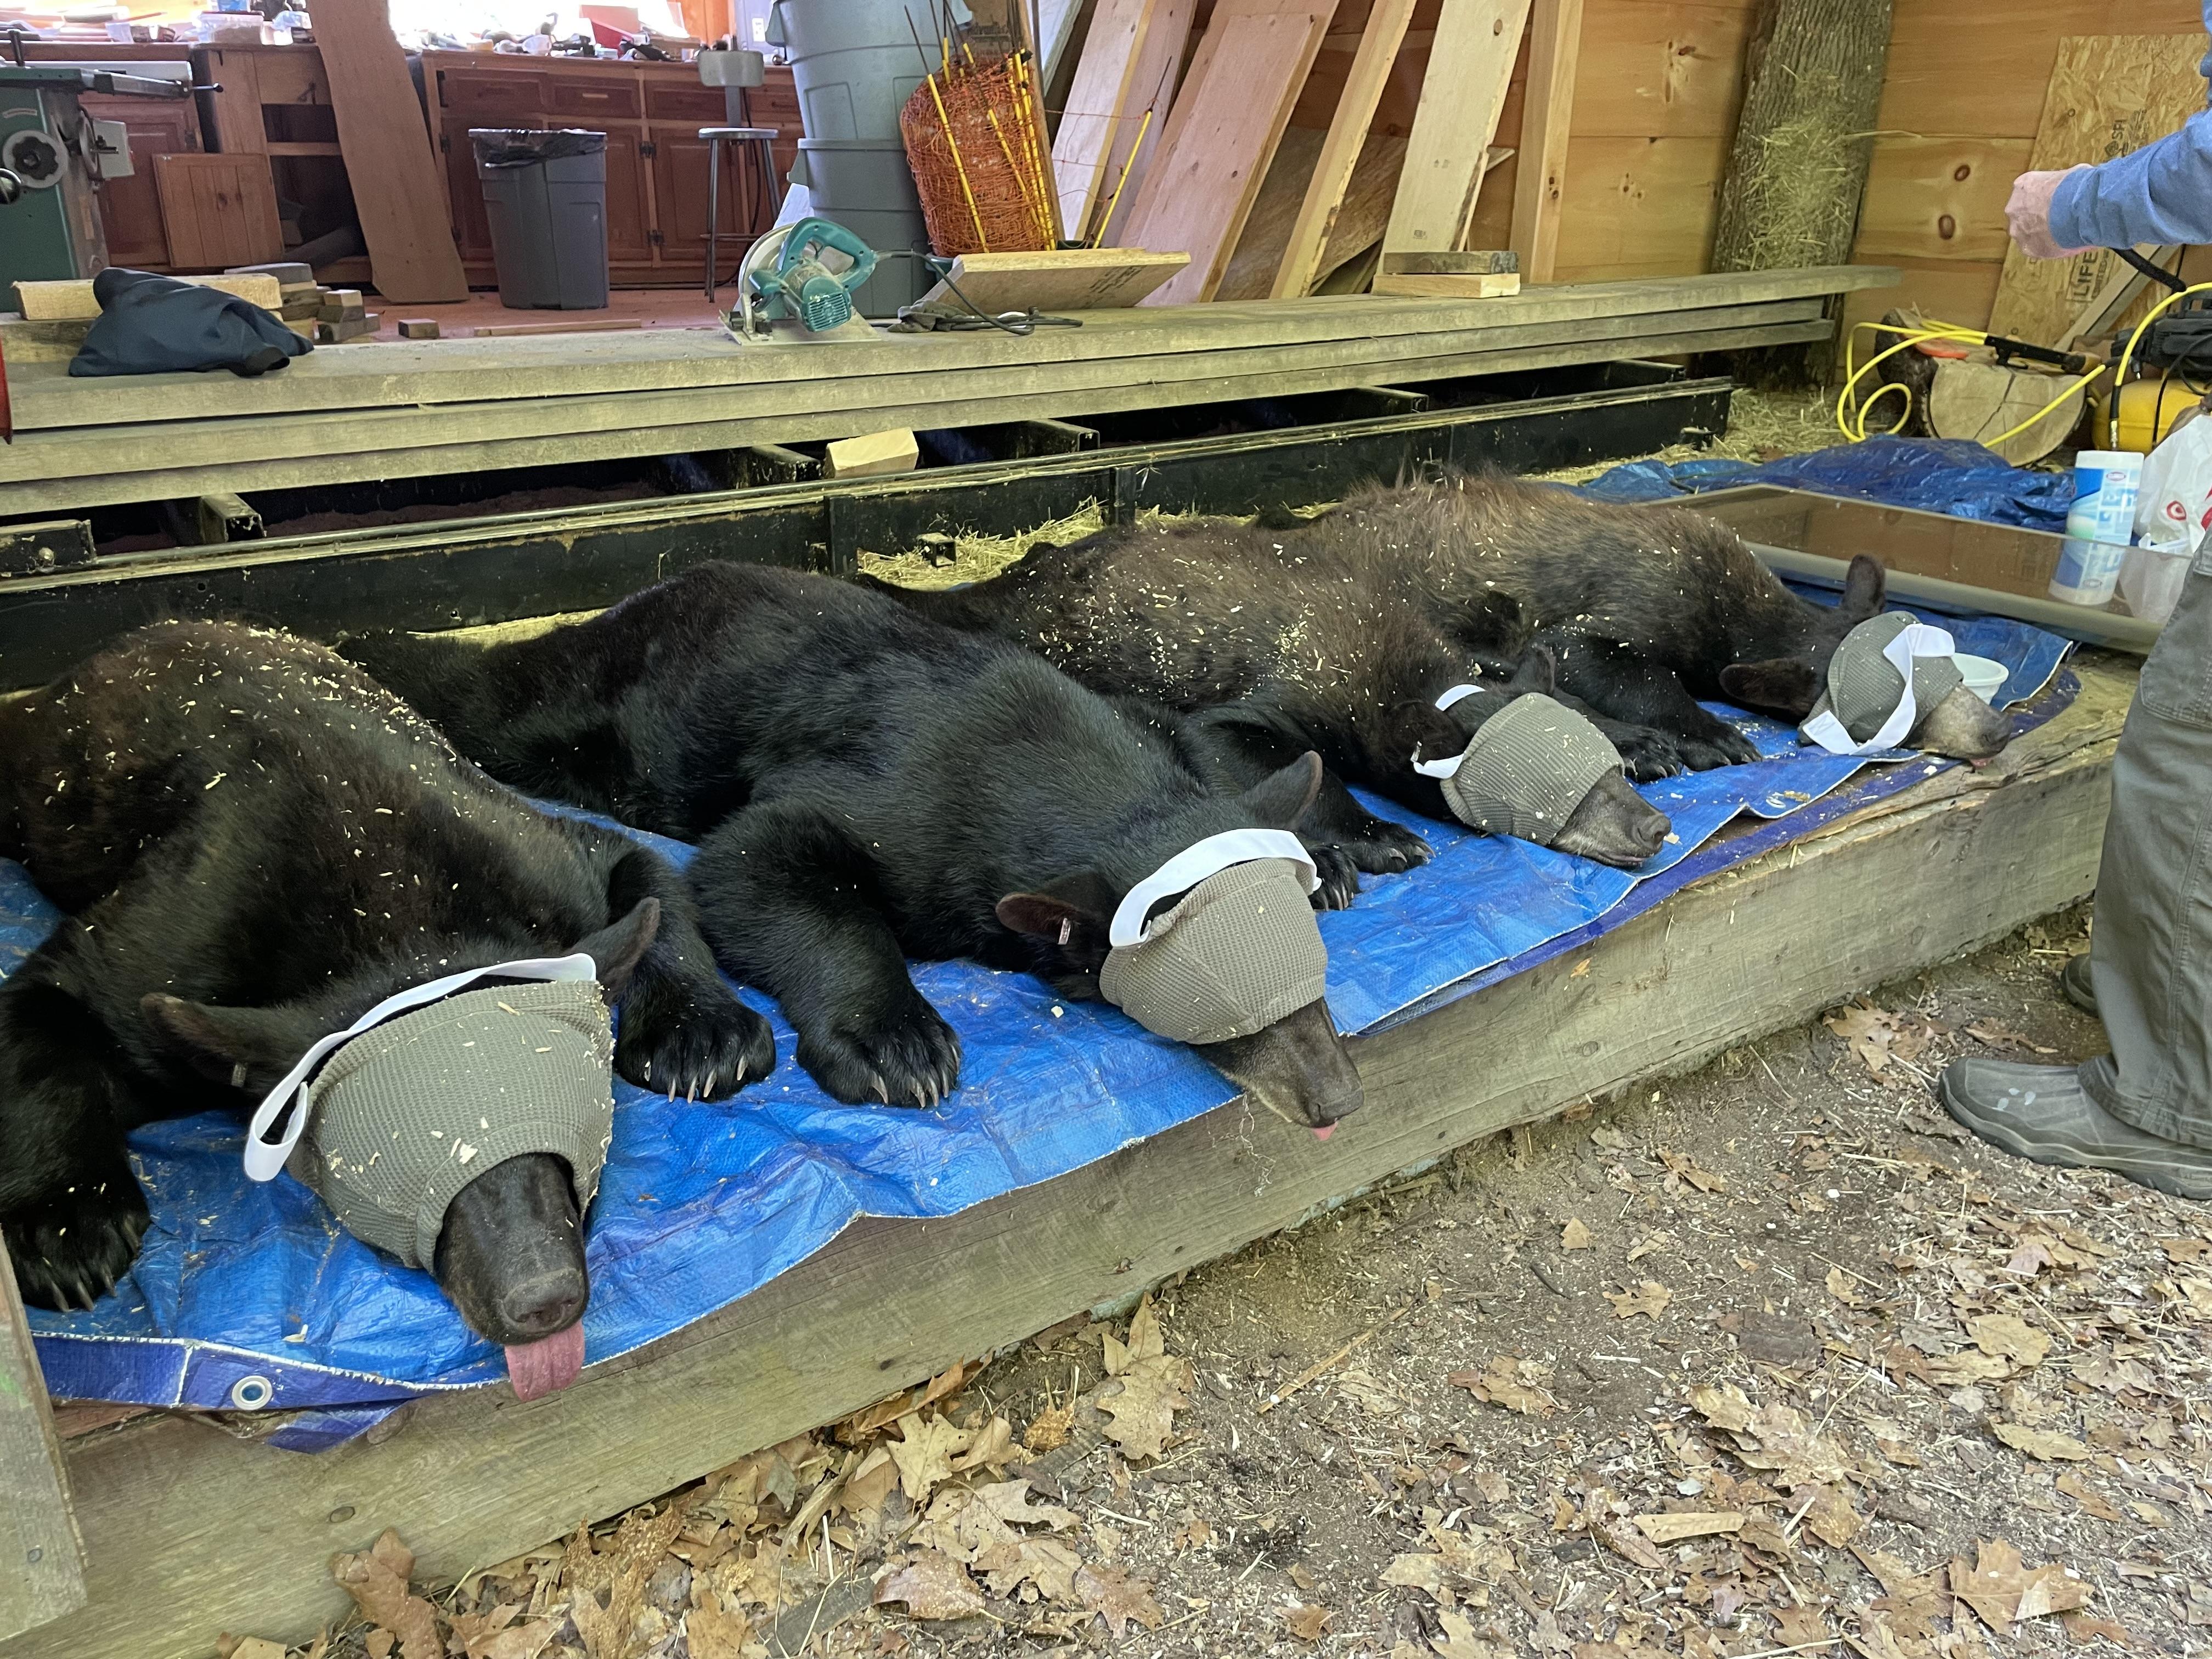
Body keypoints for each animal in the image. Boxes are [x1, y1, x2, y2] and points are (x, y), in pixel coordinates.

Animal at [0, 619, 770, 1398]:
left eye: (575, 1126)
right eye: (394, 1165)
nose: (543, 1297)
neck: (399, 915)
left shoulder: (545, 867)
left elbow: (639, 870)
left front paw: (699, 1033)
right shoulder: (182, 933)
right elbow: (54, 997)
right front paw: (67, 1217)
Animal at [342, 566, 1362, 1141]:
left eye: (1314, 976)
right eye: (1217, 1002)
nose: (1338, 1097)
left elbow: (1210, 737)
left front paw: (1335, 845)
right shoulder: (902, 799)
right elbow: (758, 860)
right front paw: (894, 1039)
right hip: (585, 718)